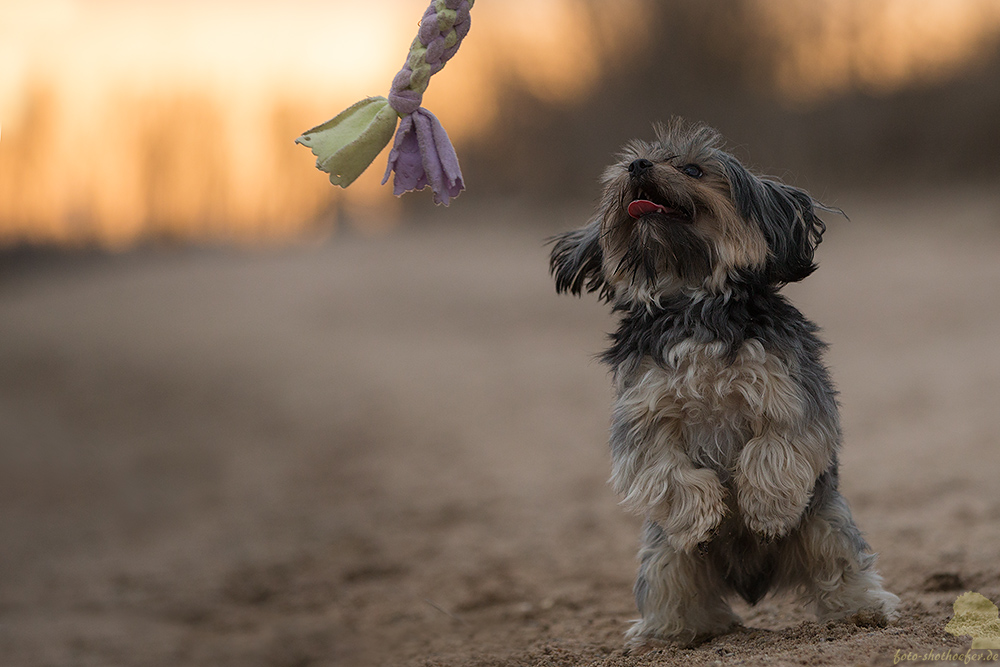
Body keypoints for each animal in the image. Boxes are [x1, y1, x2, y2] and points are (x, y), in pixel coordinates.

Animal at [548, 118, 900, 648]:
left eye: (693, 169)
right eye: (633, 161)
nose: (637, 166)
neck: (695, 305)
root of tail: (752, 579)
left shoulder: (789, 394)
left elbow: (769, 449)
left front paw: (765, 509)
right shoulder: (643, 417)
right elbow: (667, 472)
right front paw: (703, 517)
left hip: (826, 525)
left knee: (839, 567)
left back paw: (861, 610)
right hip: (663, 558)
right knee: (674, 586)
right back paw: (673, 632)